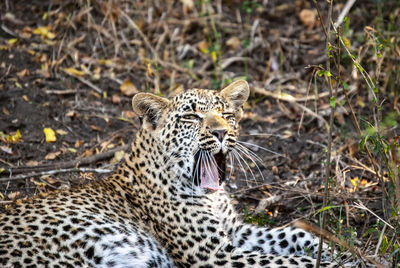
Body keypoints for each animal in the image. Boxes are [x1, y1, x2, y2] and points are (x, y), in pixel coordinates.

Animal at [0, 80, 340, 268]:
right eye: (191, 117)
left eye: (227, 114)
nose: (221, 132)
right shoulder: (213, 254)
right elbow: (288, 261)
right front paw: (331, 261)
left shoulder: (234, 232)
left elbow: (290, 235)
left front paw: (333, 250)